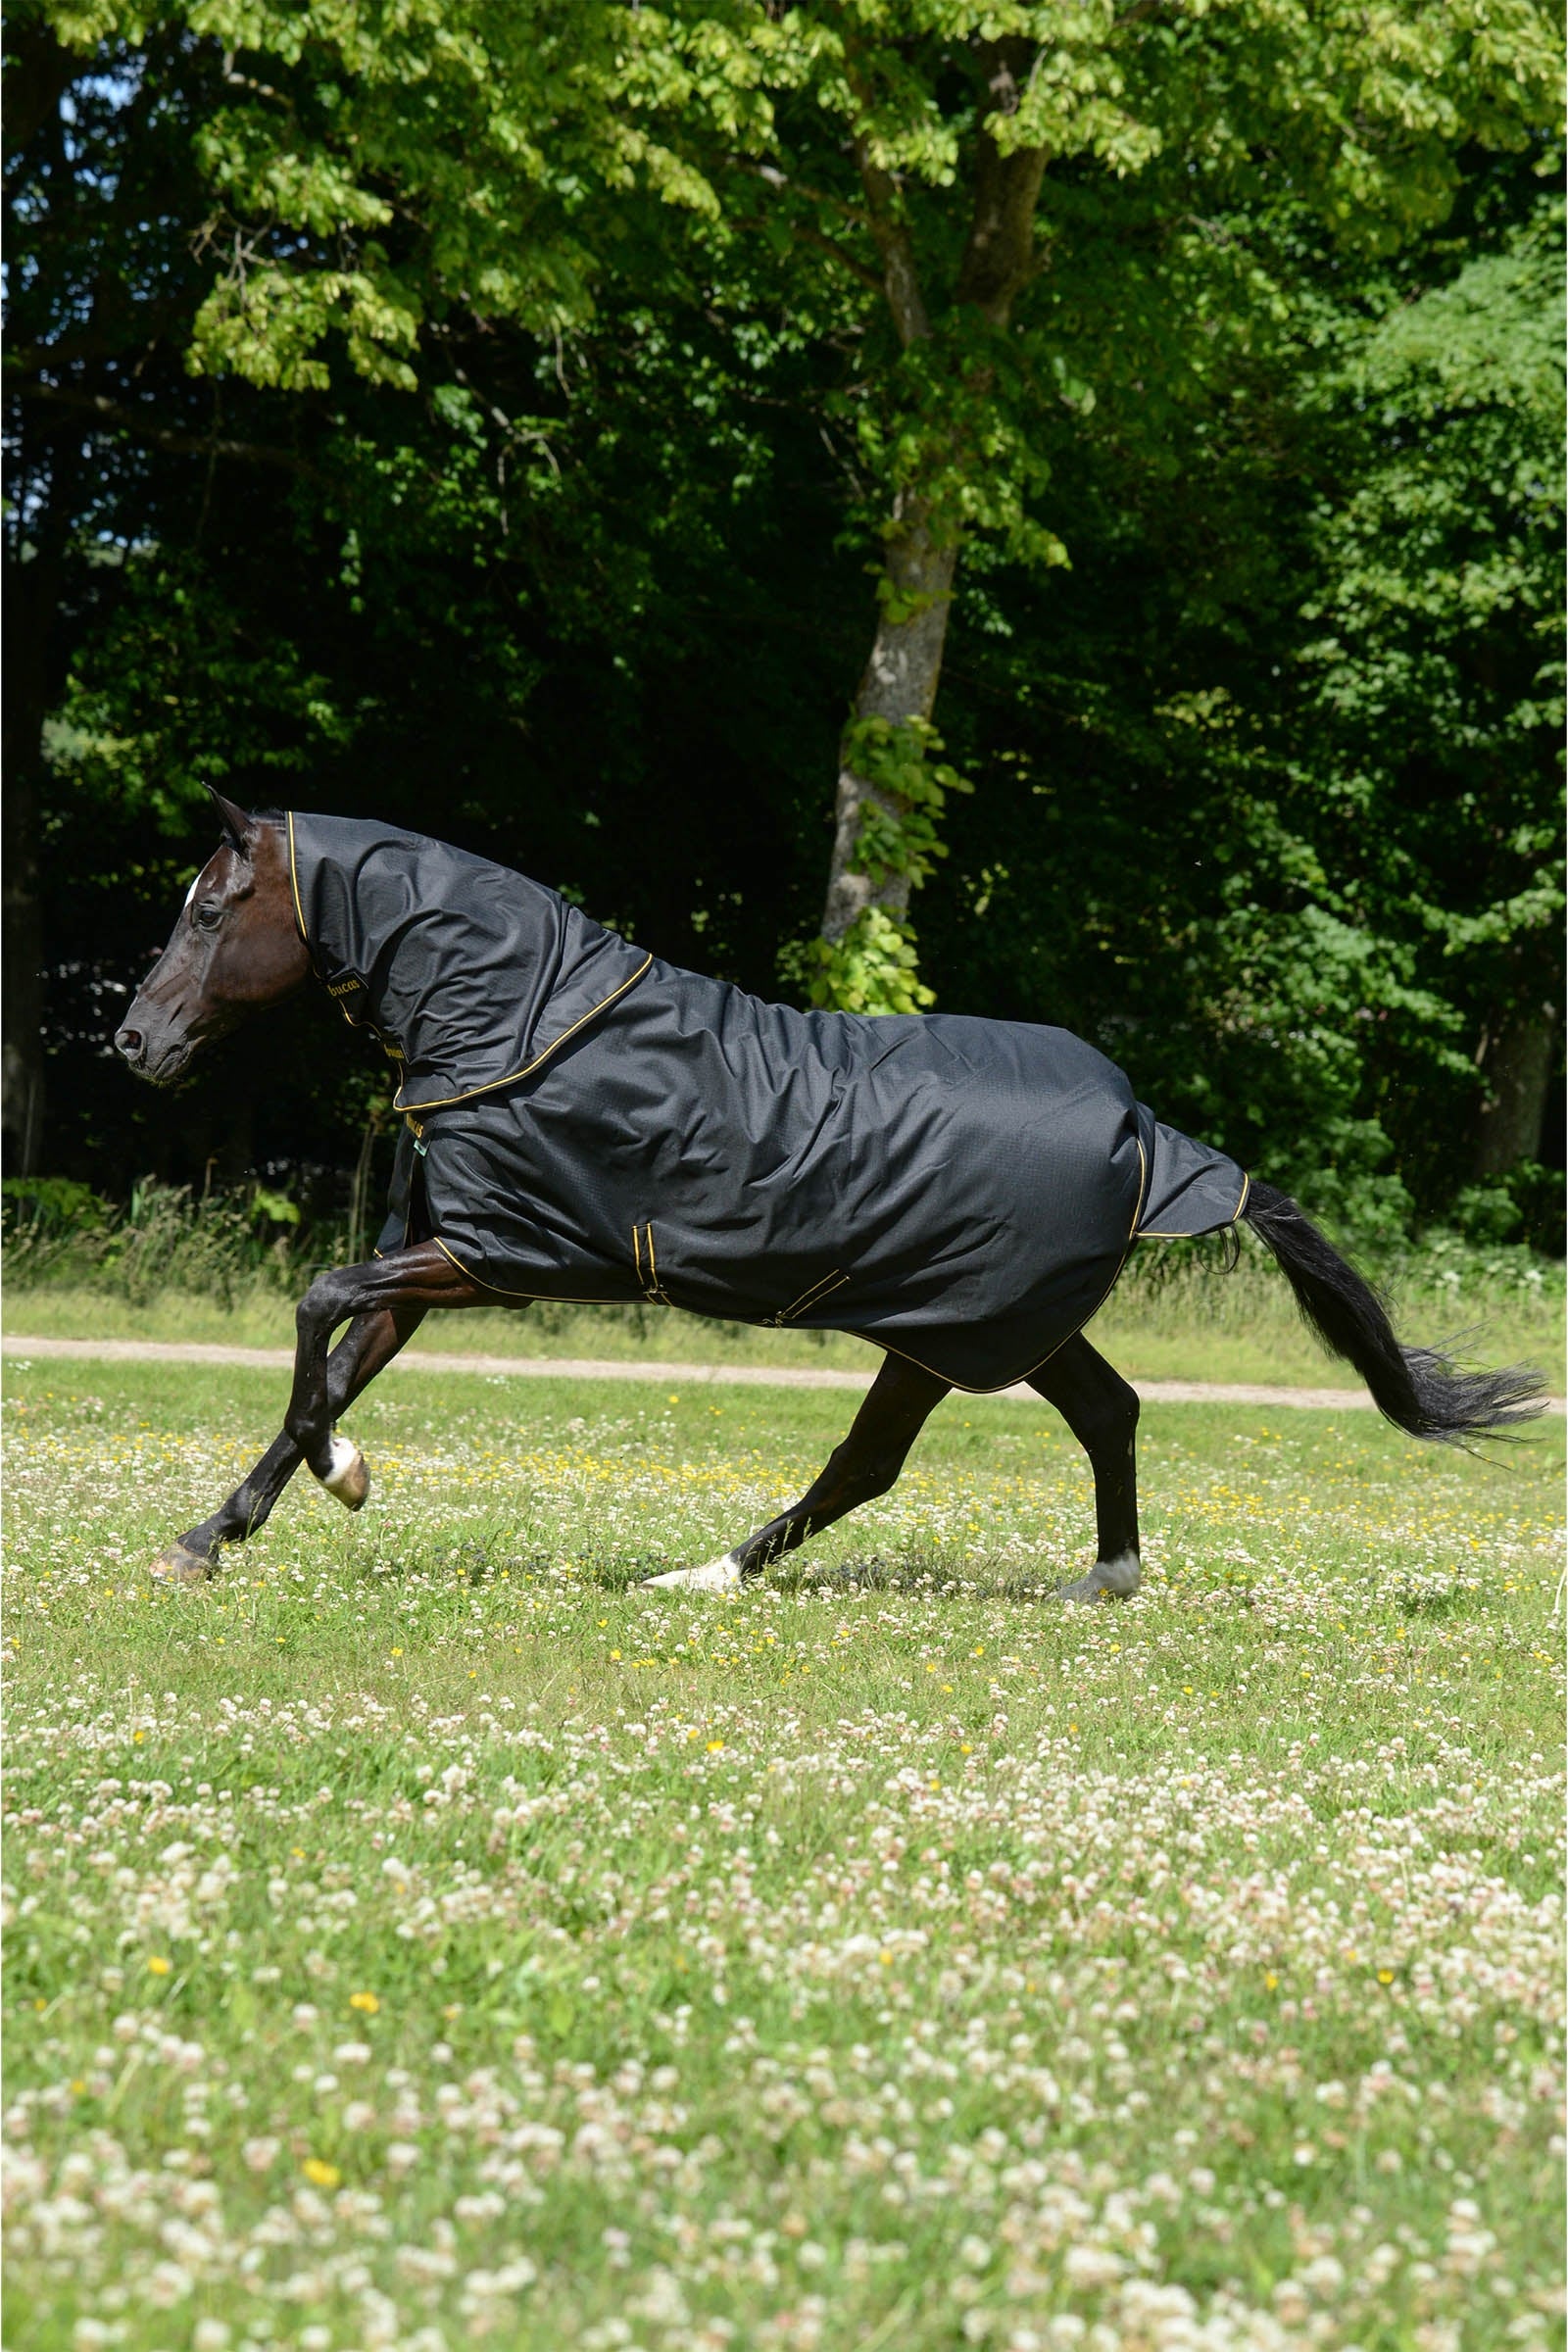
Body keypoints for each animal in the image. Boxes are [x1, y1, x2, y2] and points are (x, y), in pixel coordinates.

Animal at [114, 788, 1543, 1596]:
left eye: (207, 913)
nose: (133, 1043)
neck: (523, 1019)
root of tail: (1153, 1133)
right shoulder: (448, 1257)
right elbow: (340, 1357)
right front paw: (211, 1536)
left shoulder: (507, 1256)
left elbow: (318, 1311)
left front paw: (342, 1478)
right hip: (1004, 1327)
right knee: (1109, 1413)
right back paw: (1105, 1581)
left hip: (948, 1329)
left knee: (871, 1463)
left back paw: (705, 1576)